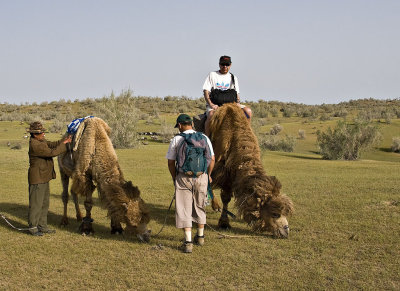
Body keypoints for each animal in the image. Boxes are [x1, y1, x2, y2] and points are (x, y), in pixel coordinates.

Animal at [206, 104, 294, 238]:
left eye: (285, 213)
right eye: (275, 213)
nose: (285, 232)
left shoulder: (230, 173)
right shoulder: (221, 170)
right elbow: (223, 195)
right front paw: (224, 222)